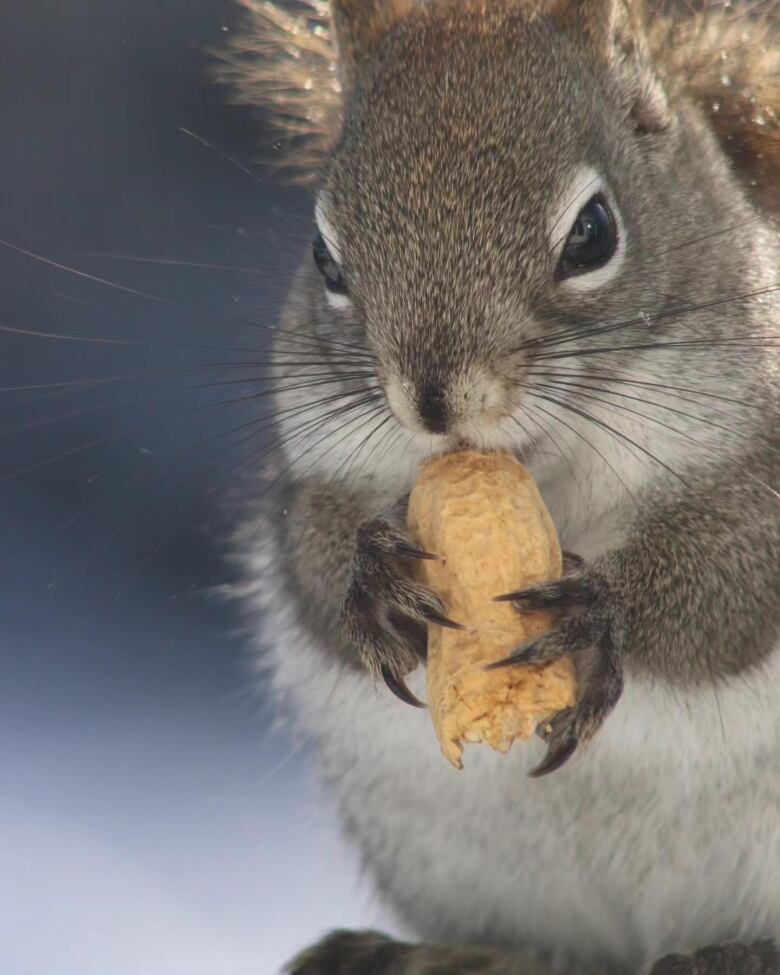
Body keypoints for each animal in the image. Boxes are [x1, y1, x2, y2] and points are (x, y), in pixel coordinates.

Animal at [218, 1, 780, 975]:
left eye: (594, 232)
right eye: (324, 258)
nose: (435, 399)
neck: (543, 467)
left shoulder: (765, 461)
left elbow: (732, 580)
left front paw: (599, 611)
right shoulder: (314, 461)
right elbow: (315, 558)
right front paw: (373, 578)